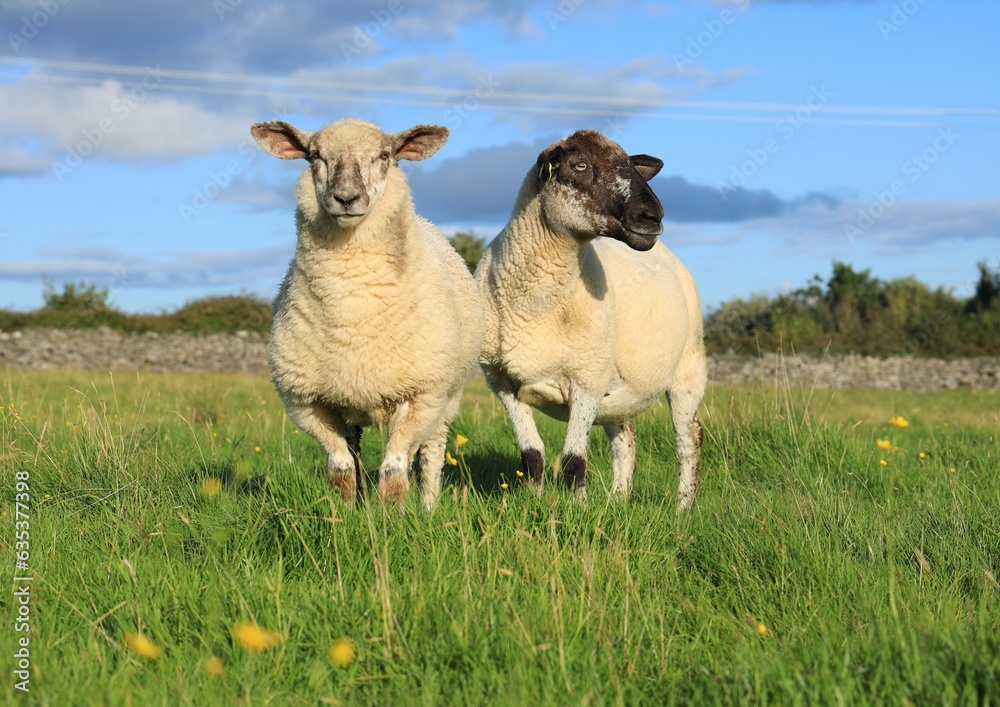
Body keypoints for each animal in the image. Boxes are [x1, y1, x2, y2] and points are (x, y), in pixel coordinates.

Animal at [250, 117, 484, 511]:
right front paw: (343, 515)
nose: (346, 198)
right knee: (357, 452)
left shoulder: (420, 394)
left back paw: (428, 506)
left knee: (430, 454)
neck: (353, 309)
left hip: (444, 398)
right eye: (315, 155)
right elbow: (341, 469)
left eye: (384, 155)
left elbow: (394, 470)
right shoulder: (308, 402)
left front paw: (394, 516)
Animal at [474, 129, 707, 510]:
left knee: (689, 440)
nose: (653, 216)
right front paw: (536, 504)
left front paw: (576, 510)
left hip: (688, 370)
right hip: (616, 390)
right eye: (579, 165)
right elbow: (532, 456)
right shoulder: (503, 383)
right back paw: (618, 500)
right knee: (626, 438)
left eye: (630, 164)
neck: (537, 304)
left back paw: (682, 509)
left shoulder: (586, 379)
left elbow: (573, 461)